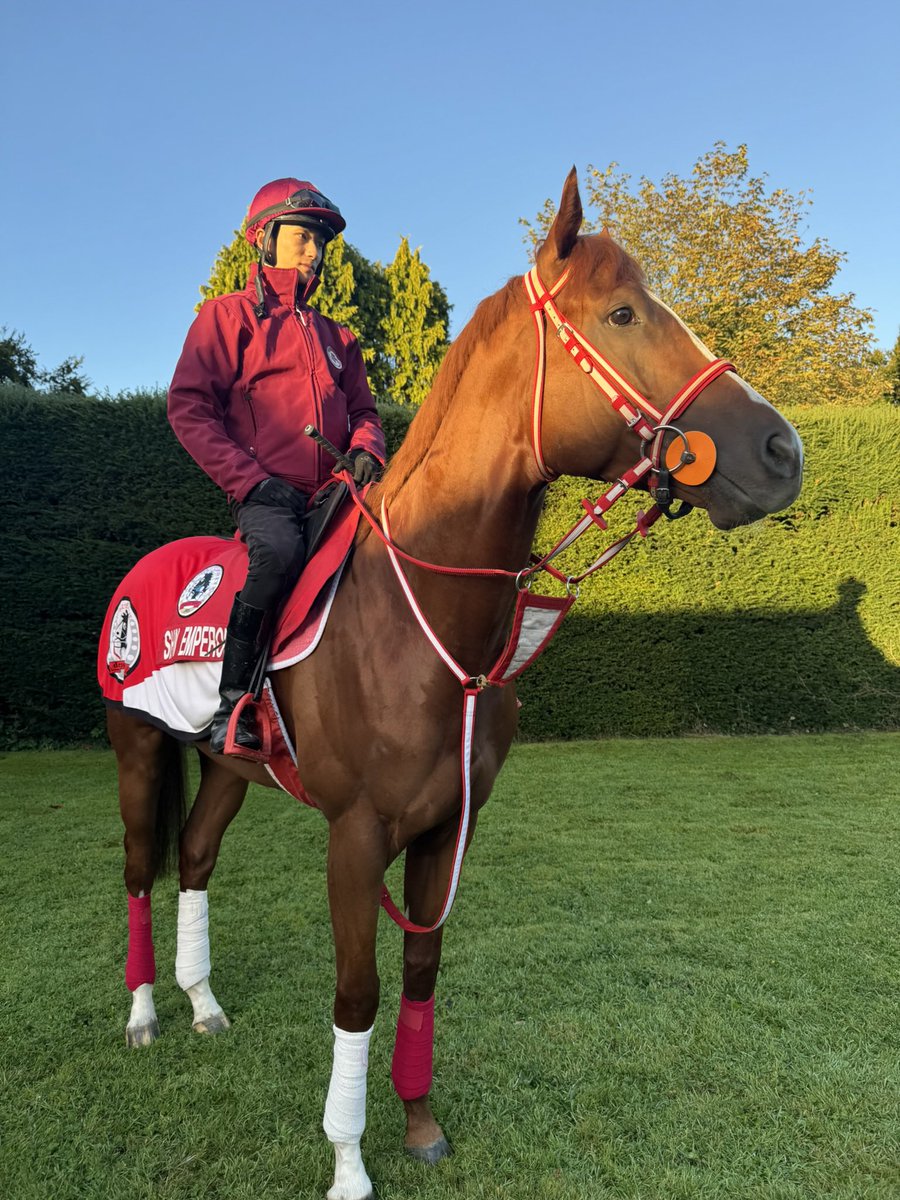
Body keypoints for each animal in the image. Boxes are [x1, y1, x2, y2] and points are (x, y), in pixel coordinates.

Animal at [105, 169, 803, 1200]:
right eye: (624, 312)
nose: (781, 453)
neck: (423, 622)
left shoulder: (448, 830)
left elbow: (424, 967)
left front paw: (420, 1124)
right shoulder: (356, 840)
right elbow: (358, 993)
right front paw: (350, 1163)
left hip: (228, 768)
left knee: (192, 857)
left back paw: (203, 1005)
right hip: (139, 750)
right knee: (138, 870)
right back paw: (147, 1014)